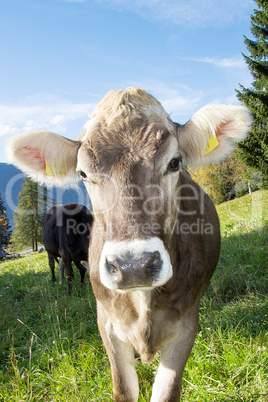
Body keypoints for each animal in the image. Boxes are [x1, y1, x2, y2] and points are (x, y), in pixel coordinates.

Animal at [7, 87, 252, 398]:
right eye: (83, 174)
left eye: (175, 162)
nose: (133, 266)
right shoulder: (107, 324)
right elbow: (123, 389)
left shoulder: (186, 325)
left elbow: (167, 391)